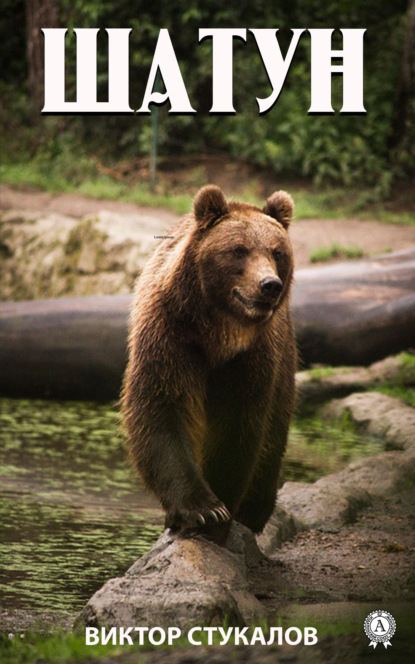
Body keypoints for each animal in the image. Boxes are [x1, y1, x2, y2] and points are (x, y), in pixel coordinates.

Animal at [122, 185, 298, 536]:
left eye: (277, 252)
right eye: (239, 250)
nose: (269, 285)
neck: (218, 334)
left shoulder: (253, 357)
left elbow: (237, 425)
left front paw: (223, 507)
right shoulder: (169, 336)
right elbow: (161, 409)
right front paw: (203, 509)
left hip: (286, 364)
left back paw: (255, 511)